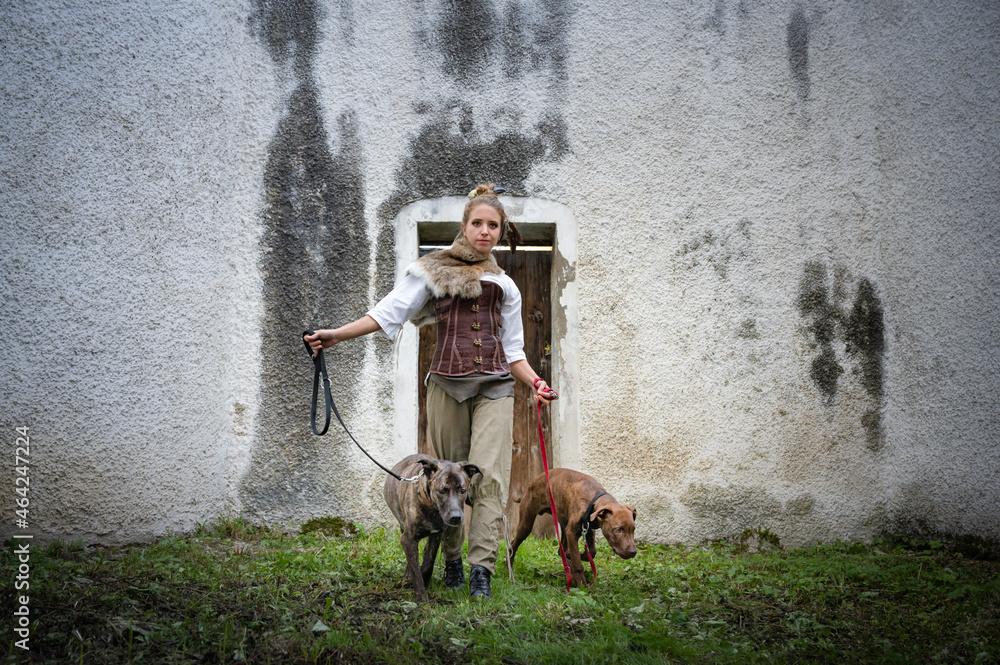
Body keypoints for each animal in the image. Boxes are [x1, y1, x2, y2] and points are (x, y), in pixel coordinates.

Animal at [383, 454, 481, 601]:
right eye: (442, 490)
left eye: (462, 490)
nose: (456, 517)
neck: (432, 507)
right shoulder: (408, 539)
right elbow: (416, 571)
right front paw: (422, 598)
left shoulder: (436, 536)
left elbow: (429, 563)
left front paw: (426, 581)